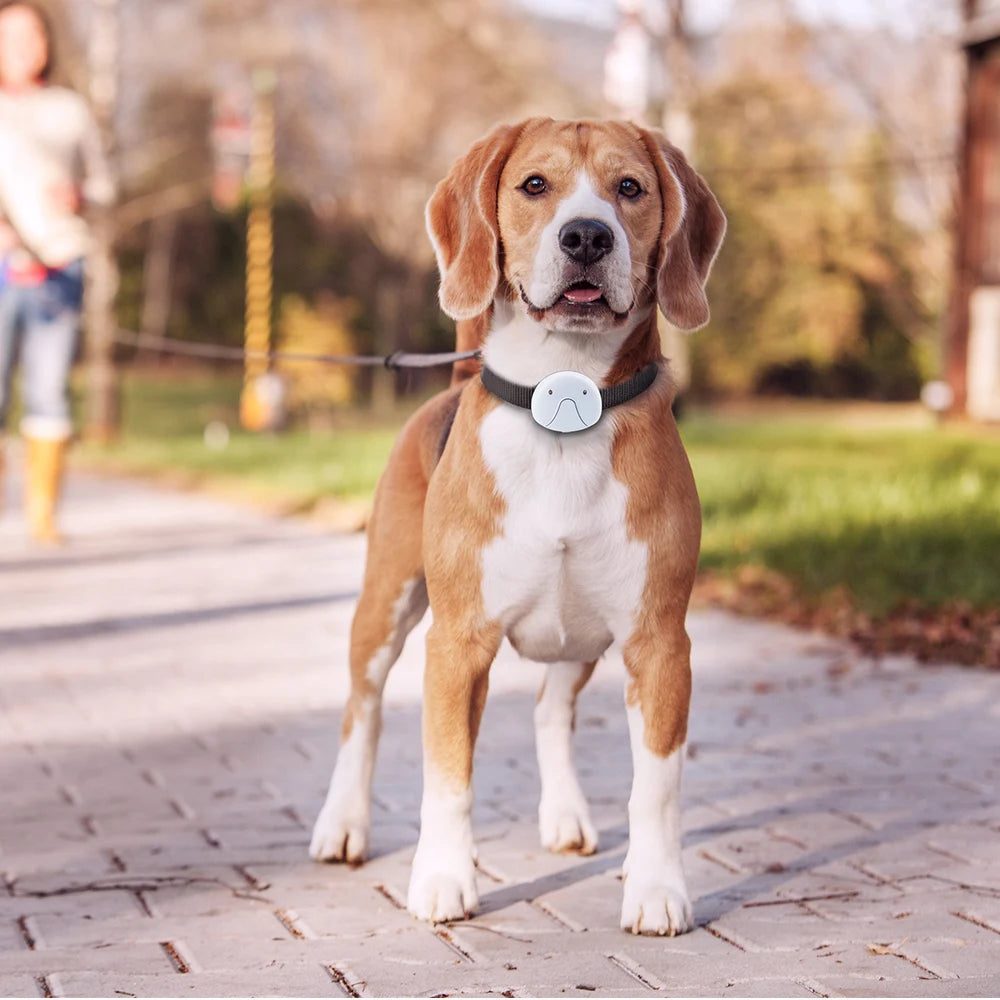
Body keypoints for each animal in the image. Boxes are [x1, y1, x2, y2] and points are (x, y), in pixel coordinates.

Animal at [308, 117, 724, 936]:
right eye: (535, 185)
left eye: (630, 187)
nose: (587, 235)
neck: (565, 398)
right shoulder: (457, 644)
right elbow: (448, 776)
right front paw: (443, 879)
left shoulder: (660, 643)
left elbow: (657, 787)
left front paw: (657, 887)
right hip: (385, 605)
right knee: (360, 713)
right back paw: (343, 823)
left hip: (583, 636)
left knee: (549, 710)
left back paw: (566, 816)